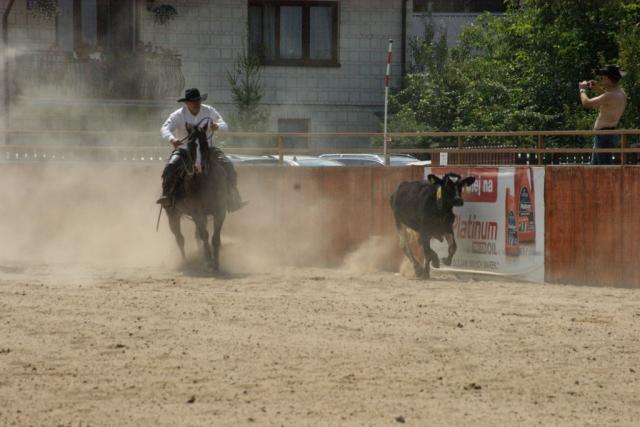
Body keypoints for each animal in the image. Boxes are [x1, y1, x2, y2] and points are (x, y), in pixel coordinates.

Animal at [163, 119, 228, 272]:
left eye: (204, 143)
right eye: (191, 144)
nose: (198, 167)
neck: (204, 182)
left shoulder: (220, 211)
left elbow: (215, 237)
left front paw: (216, 263)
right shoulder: (197, 212)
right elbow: (205, 235)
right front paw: (209, 262)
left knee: (195, 235)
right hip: (173, 215)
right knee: (180, 238)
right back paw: (186, 262)